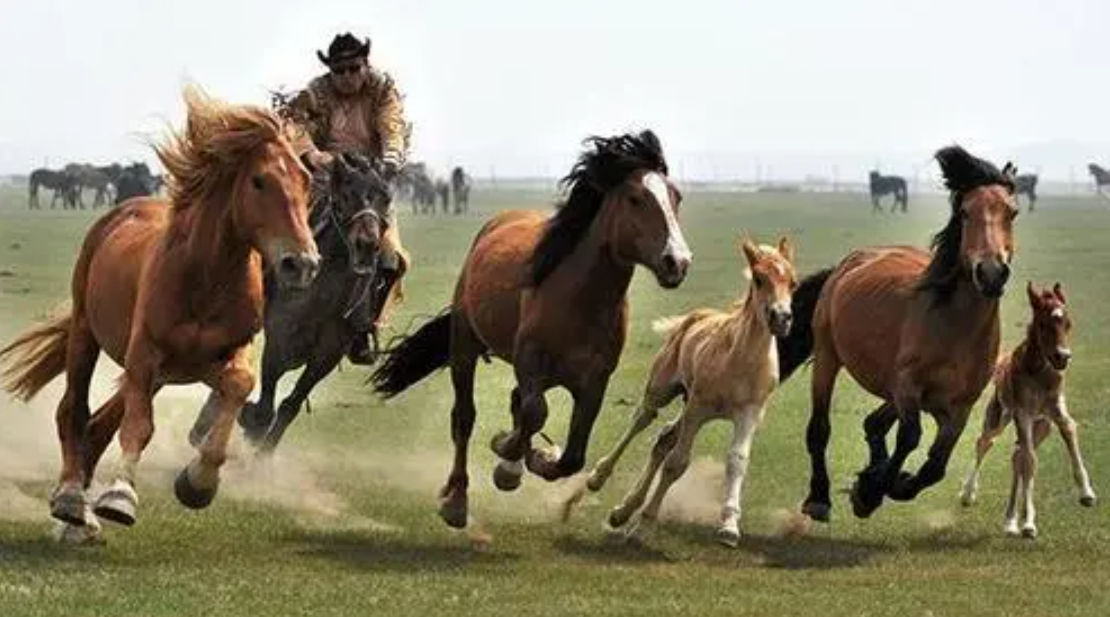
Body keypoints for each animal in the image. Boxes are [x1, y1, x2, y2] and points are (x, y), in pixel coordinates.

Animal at [1, 85, 321, 539]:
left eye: (306, 181)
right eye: (259, 181)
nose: (303, 263)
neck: (204, 281)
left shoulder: (214, 360)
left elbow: (239, 387)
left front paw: (198, 483)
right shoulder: (145, 356)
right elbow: (139, 427)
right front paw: (120, 497)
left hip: (157, 373)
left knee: (98, 426)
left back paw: (80, 518)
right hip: (87, 333)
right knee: (74, 411)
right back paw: (70, 498)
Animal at [368, 132, 688, 528]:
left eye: (676, 197)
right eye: (634, 198)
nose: (677, 262)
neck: (580, 299)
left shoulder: (594, 381)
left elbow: (572, 456)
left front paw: (533, 459)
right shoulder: (530, 360)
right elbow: (534, 414)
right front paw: (507, 456)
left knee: (516, 402)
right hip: (465, 346)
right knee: (466, 417)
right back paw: (457, 498)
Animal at [581, 237, 799, 550]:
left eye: (793, 283)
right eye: (759, 279)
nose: (781, 318)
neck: (740, 361)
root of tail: (696, 316)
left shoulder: (749, 414)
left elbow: (737, 462)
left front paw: (729, 526)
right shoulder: (698, 407)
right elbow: (677, 463)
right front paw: (644, 526)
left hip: (686, 405)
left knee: (662, 440)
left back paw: (623, 511)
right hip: (663, 390)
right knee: (642, 420)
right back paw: (598, 478)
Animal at [777, 144, 1016, 521]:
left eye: (1013, 213)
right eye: (965, 212)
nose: (991, 272)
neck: (954, 329)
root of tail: (850, 261)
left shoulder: (960, 408)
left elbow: (935, 466)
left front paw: (880, 484)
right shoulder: (907, 388)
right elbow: (909, 438)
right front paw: (870, 491)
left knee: (873, 424)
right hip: (829, 358)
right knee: (820, 429)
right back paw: (819, 498)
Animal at [959, 281, 1096, 537]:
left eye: (1068, 323)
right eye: (1043, 324)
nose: (1063, 357)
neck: (1039, 372)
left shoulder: (1056, 409)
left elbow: (1069, 429)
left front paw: (1087, 493)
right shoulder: (1023, 413)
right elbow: (1030, 461)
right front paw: (1029, 524)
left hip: (1041, 427)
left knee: (1017, 455)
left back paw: (1011, 521)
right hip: (1001, 416)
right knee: (986, 442)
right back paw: (969, 494)